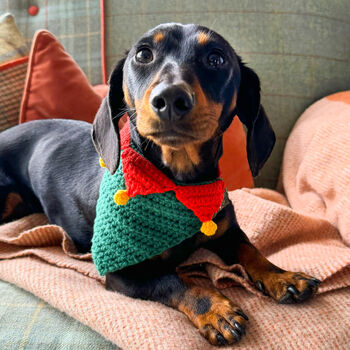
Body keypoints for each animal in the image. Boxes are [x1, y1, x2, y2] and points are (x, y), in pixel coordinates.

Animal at [0, 23, 320, 346]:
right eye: (143, 54)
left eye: (216, 58)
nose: (171, 99)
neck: (178, 184)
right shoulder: (125, 271)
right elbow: (177, 281)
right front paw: (217, 311)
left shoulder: (227, 231)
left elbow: (251, 251)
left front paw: (283, 277)